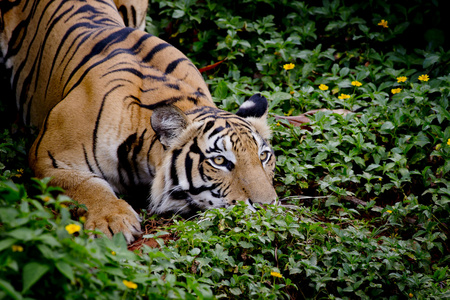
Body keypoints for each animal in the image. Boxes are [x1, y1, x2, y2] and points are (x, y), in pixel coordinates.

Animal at [0, 0, 278, 243]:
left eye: (264, 156)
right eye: (219, 161)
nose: (266, 208)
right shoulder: (47, 156)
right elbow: (85, 184)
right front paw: (112, 220)